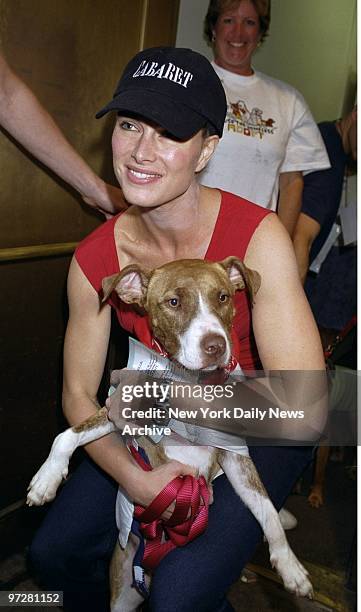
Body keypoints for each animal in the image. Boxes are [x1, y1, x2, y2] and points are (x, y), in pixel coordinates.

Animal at [26, 255, 310, 608]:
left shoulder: (234, 457)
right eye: (173, 302)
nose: (216, 345)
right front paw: (46, 479)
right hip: (122, 593)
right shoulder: (119, 409)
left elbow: (267, 508)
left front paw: (289, 566)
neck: (192, 384)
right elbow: (67, 434)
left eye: (223, 297)